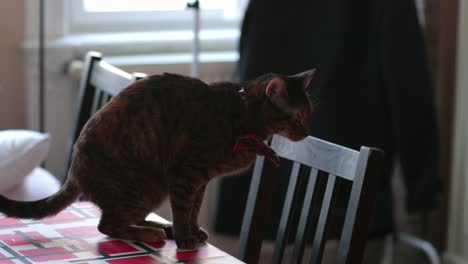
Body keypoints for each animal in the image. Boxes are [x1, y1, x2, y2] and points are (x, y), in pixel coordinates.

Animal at [0, 68, 316, 250]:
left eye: (309, 113)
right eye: (298, 116)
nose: (308, 132)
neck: (244, 117)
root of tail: (73, 173)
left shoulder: (199, 181)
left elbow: (192, 209)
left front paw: (190, 231)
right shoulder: (186, 173)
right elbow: (183, 208)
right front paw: (186, 238)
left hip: (151, 191)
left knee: (124, 219)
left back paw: (159, 227)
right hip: (140, 186)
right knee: (107, 225)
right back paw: (152, 234)